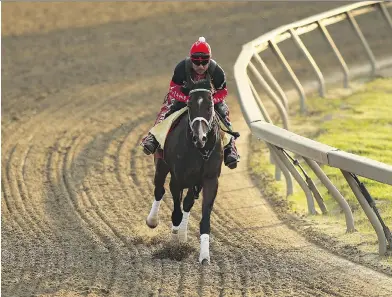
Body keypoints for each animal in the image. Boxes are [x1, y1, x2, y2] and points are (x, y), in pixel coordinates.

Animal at [145, 78, 224, 264]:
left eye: (210, 105)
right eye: (189, 104)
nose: (199, 137)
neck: (200, 150)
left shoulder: (210, 180)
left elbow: (203, 217)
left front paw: (204, 256)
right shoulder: (177, 179)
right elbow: (176, 212)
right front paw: (174, 246)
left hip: (195, 182)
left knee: (188, 202)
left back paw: (182, 235)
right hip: (161, 165)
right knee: (159, 190)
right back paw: (153, 220)